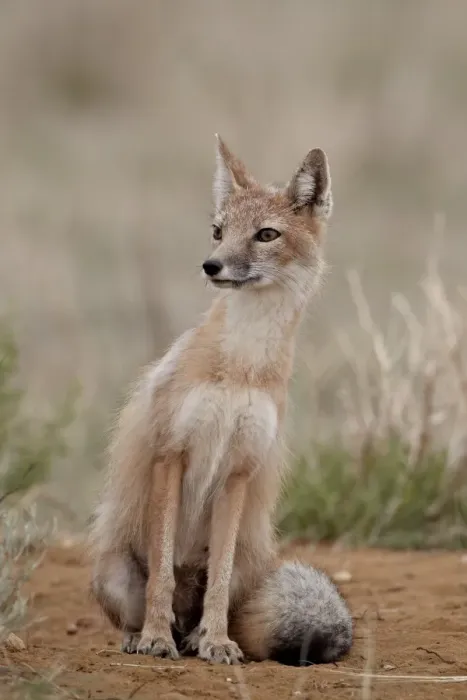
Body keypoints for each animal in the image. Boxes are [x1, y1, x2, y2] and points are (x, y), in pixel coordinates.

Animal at [89, 135, 352, 666]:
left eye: (266, 234)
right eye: (218, 231)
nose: (211, 266)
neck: (242, 367)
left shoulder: (238, 472)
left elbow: (219, 580)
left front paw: (216, 641)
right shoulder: (171, 455)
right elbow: (162, 575)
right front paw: (155, 638)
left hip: (249, 564)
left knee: (214, 596)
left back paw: (195, 638)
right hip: (113, 569)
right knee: (146, 607)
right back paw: (144, 636)